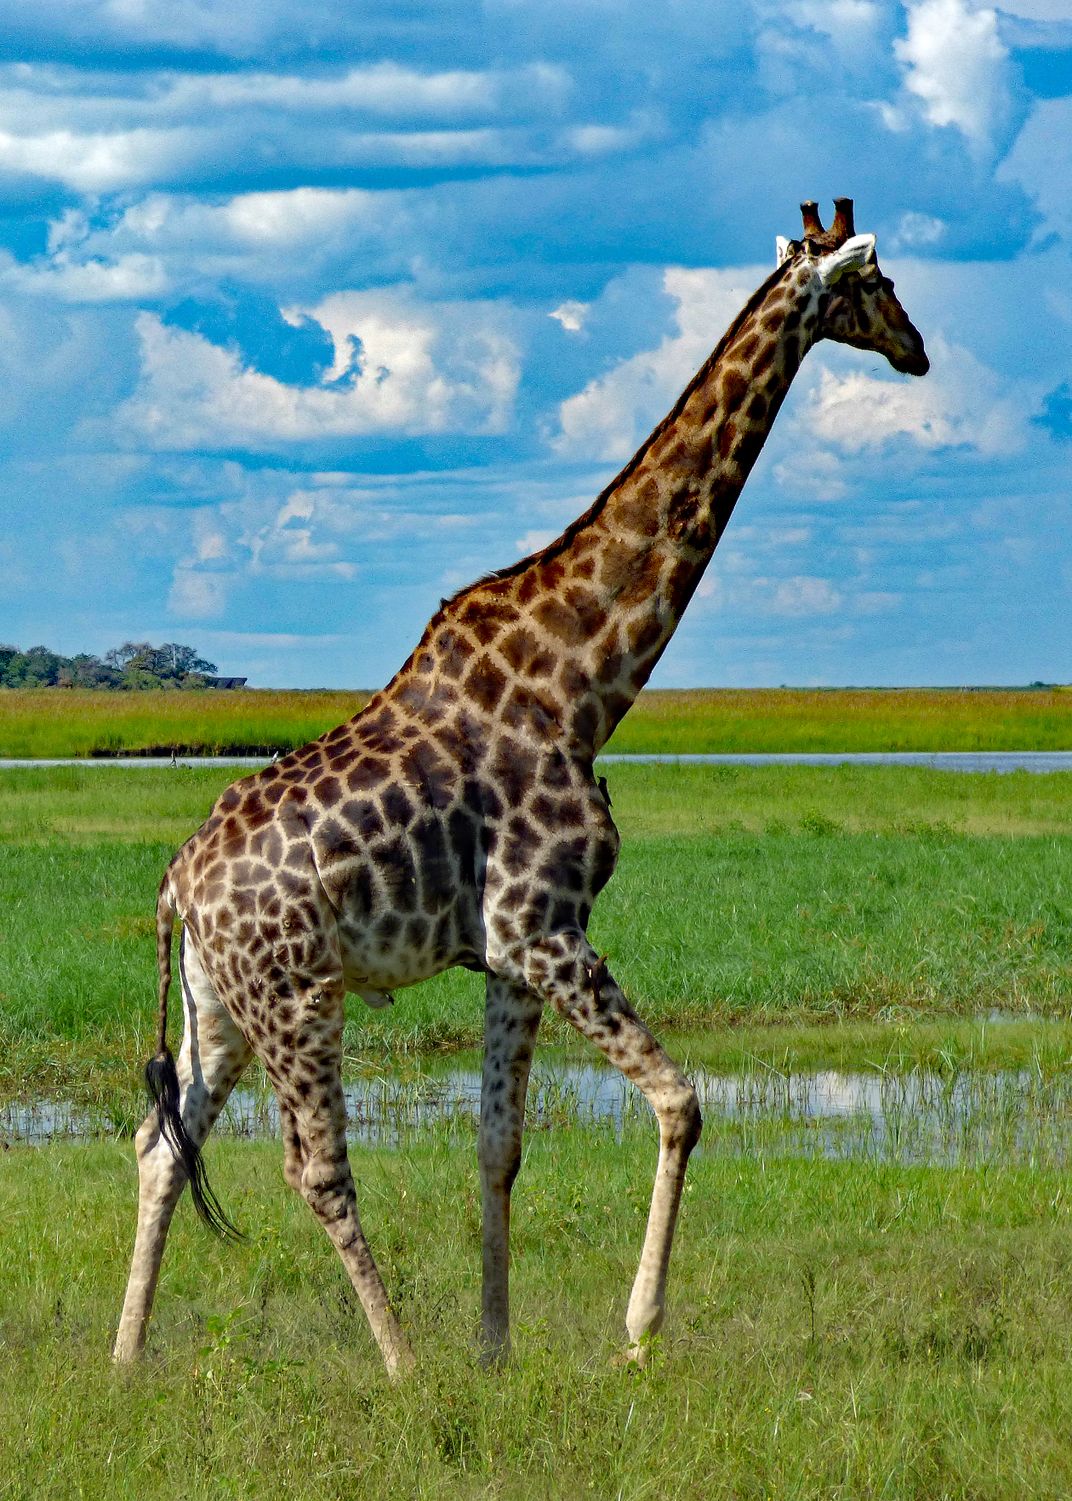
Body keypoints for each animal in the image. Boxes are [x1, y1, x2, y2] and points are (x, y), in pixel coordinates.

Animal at [114, 199, 928, 1377]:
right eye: (877, 284)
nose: (919, 351)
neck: (583, 681)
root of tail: (177, 887)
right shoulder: (546, 925)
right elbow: (680, 1102)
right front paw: (637, 1329)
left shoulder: (510, 952)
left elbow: (497, 1144)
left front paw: (497, 1348)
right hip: (297, 991)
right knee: (314, 1167)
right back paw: (402, 1363)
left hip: (218, 1004)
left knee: (161, 1142)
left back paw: (126, 1361)